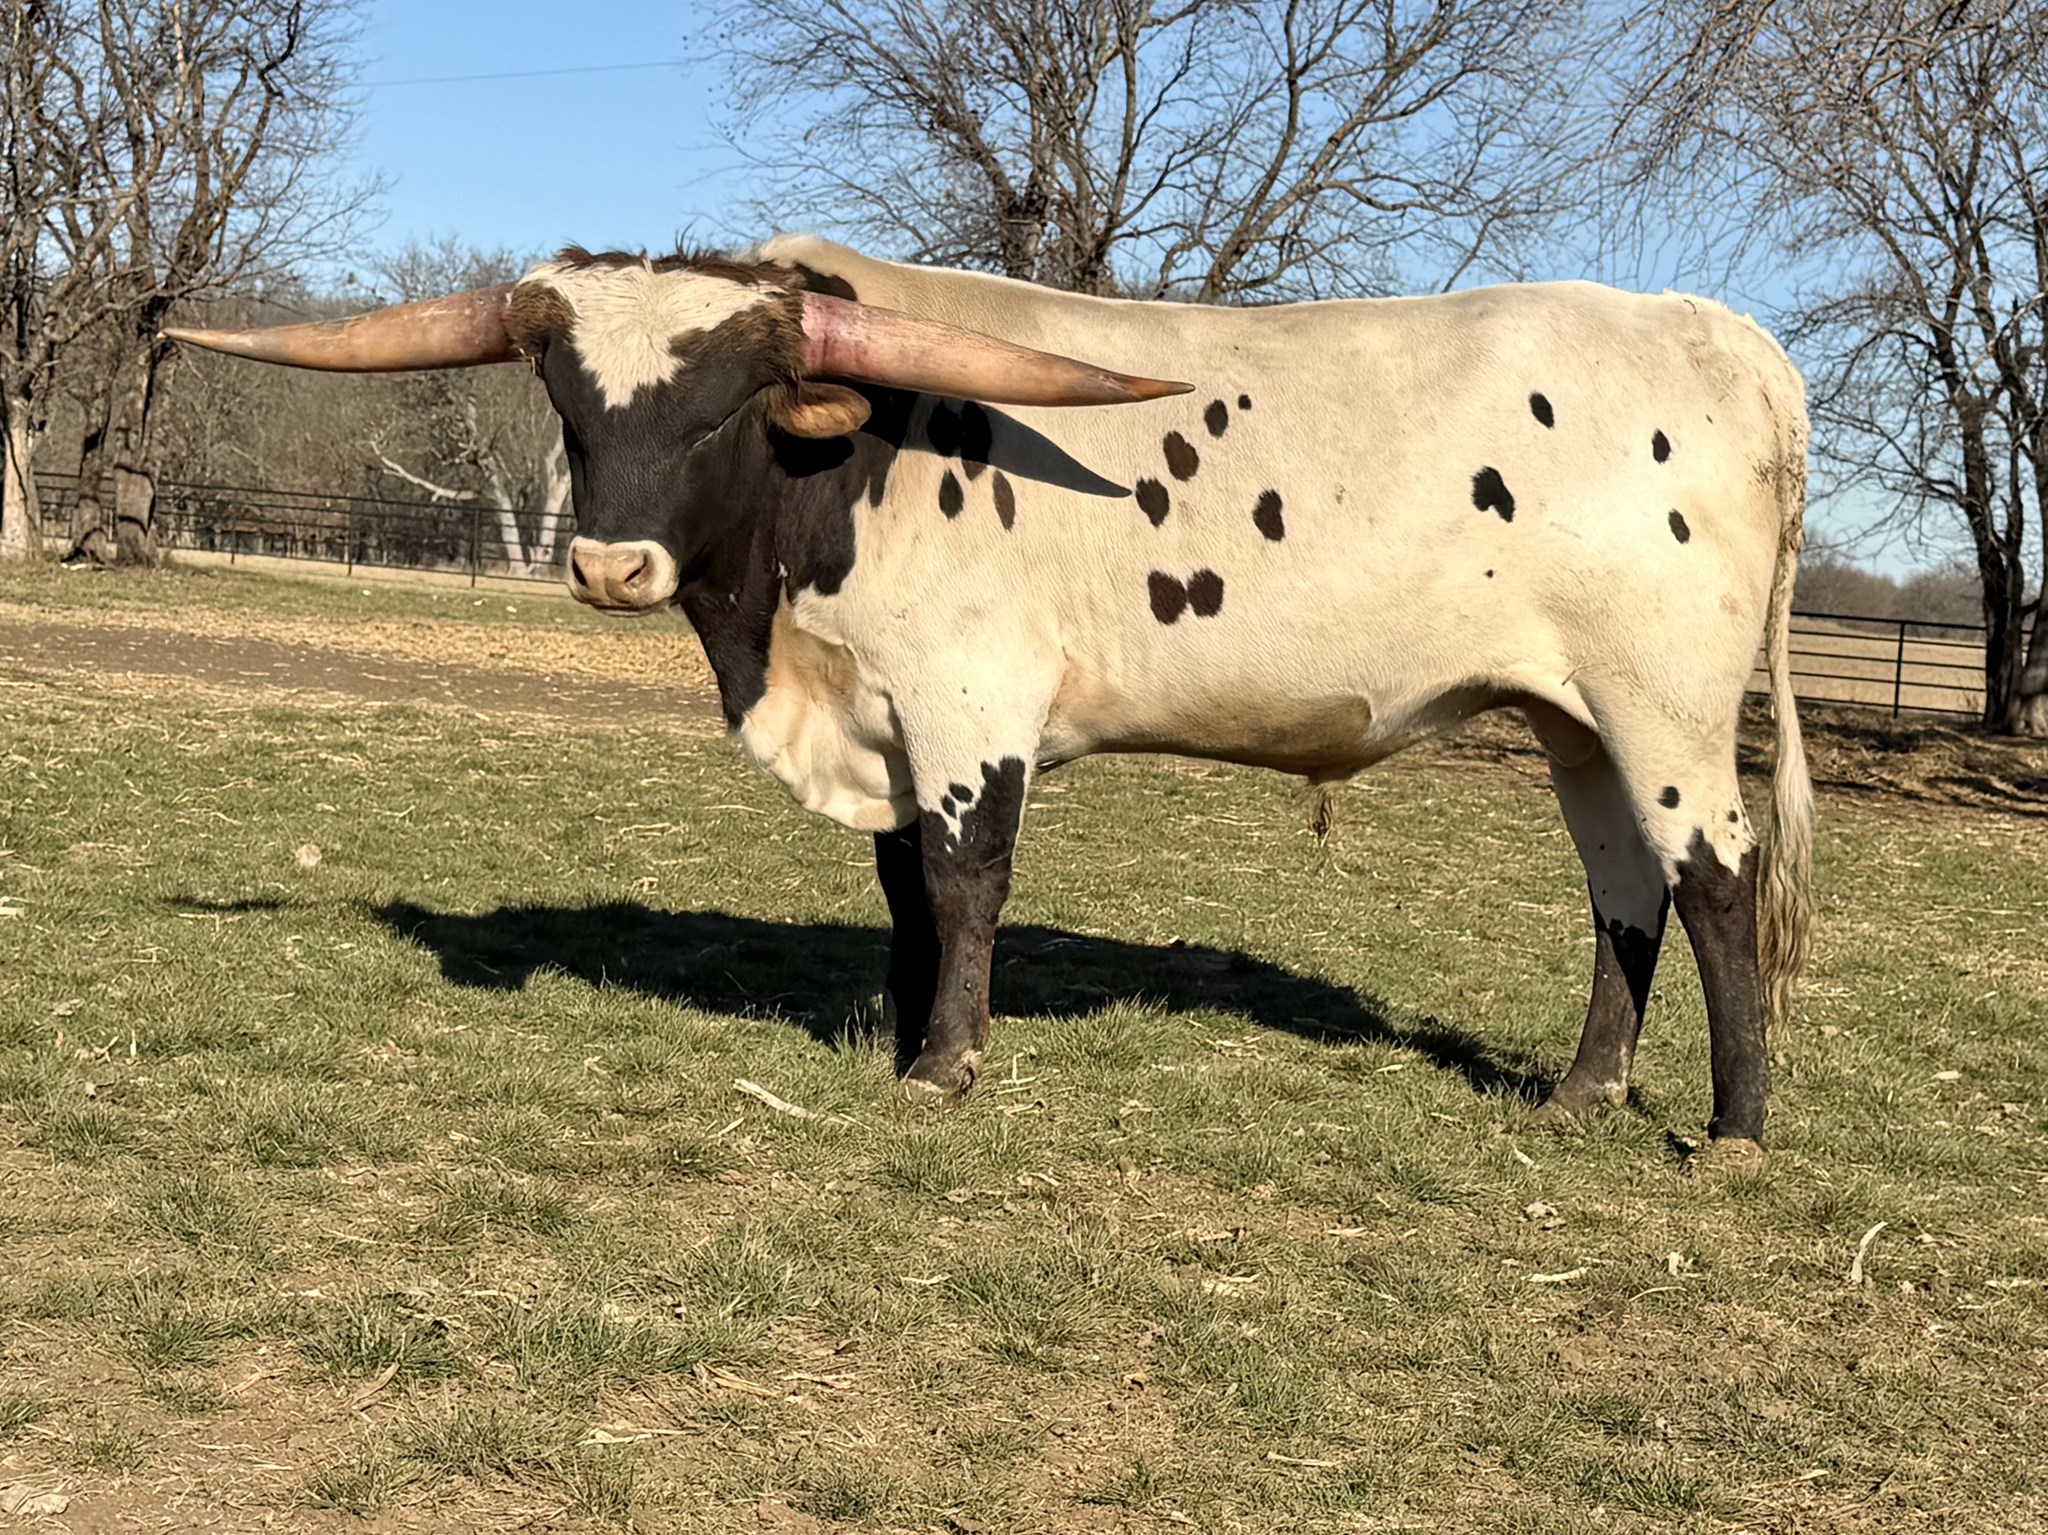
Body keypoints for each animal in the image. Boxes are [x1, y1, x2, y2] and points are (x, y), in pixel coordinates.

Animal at [166, 235, 1816, 1164]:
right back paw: (1582, 1095)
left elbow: (966, 882)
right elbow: (903, 886)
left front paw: (944, 1066)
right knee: (1625, 893)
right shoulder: (888, 719)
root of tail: (1726, 339)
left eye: (723, 407)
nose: (613, 564)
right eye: (568, 399)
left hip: (1665, 707)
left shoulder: (969, 710)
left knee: (1715, 882)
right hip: (1575, 717)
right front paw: (900, 1033)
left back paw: (1735, 1128)